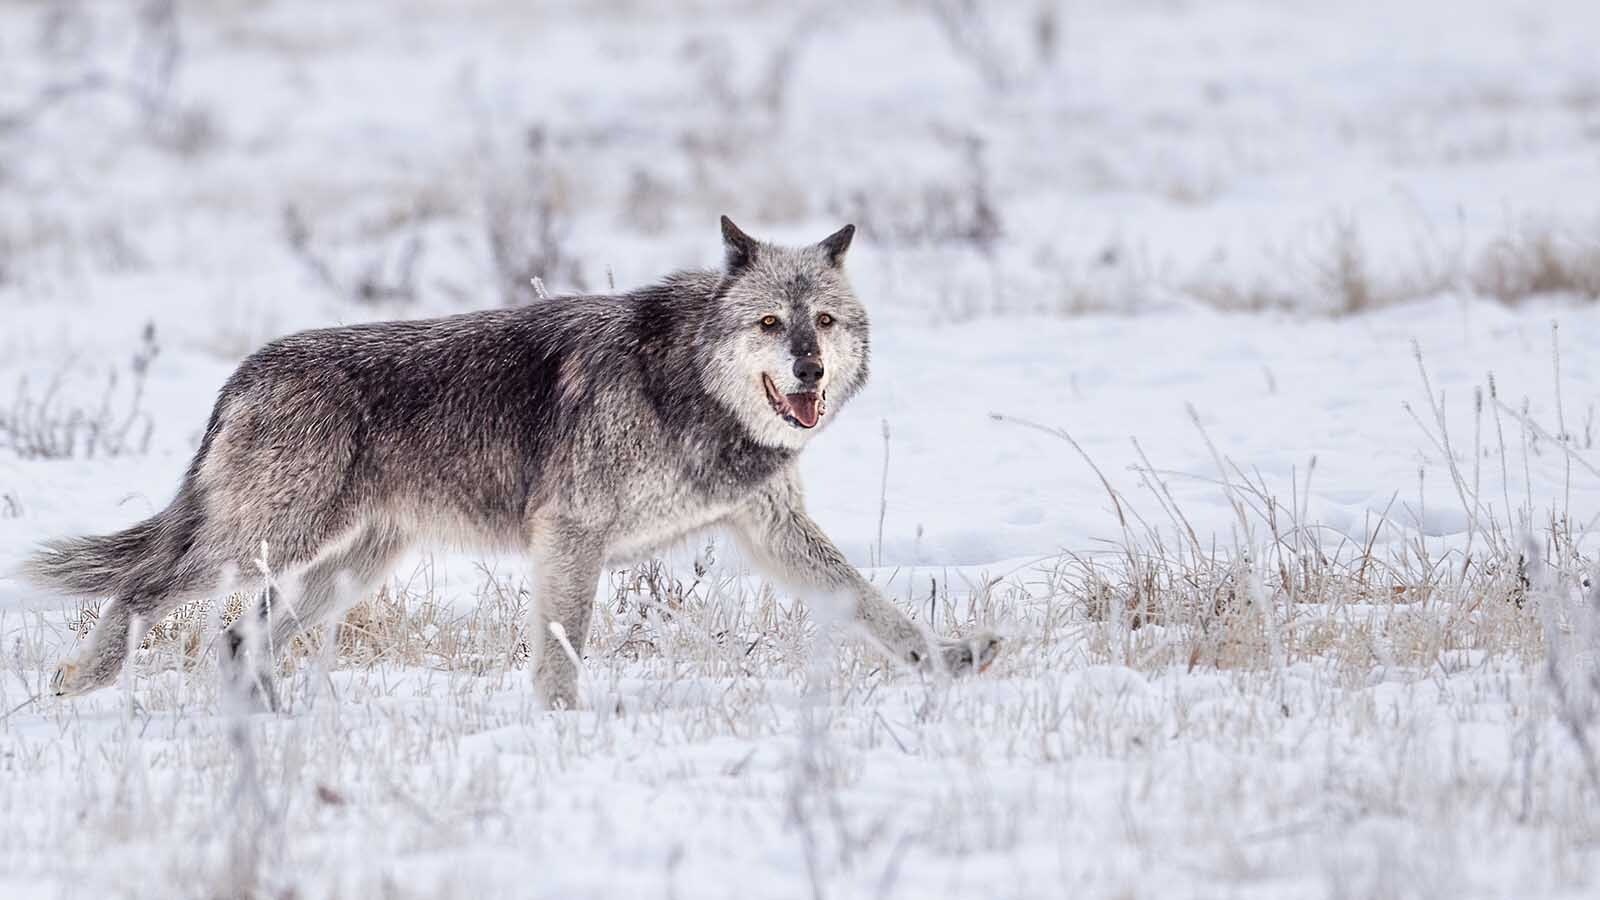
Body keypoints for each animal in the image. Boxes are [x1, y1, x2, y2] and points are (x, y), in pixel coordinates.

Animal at [23, 217, 1000, 710]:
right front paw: (561, 729)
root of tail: (246, 371)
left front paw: (949, 661)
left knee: (237, 636)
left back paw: (270, 723)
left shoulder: (773, 533)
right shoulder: (571, 535)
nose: (810, 370)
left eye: (823, 321)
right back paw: (82, 681)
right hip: (271, 542)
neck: (685, 382)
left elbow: (873, 606)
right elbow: (563, 648)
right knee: (144, 590)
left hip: (346, 569)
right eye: (770, 323)